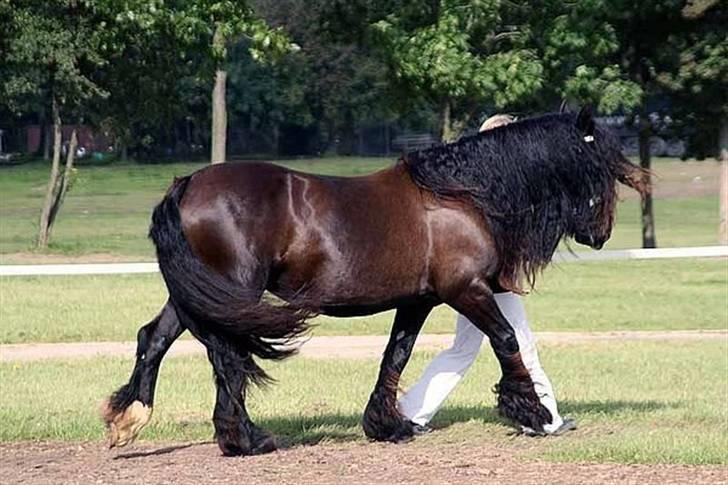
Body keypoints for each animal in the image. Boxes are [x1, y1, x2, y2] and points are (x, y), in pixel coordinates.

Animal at [102, 106, 648, 454]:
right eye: (597, 165)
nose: (601, 234)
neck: (460, 193)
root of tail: (187, 184)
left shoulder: (418, 300)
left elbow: (396, 355)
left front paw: (388, 424)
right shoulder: (465, 290)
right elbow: (506, 338)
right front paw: (532, 411)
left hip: (199, 294)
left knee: (157, 339)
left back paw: (132, 421)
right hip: (233, 290)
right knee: (226, 356)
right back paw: (246, 440)